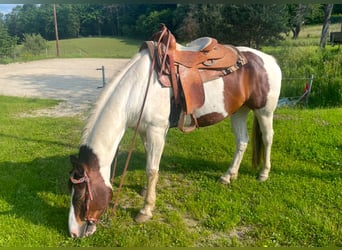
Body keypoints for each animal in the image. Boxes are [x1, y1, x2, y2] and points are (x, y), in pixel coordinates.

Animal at [67, 45, 280, 238]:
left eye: (82, 196)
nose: (74, 233)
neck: (137, 89)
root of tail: (270, 60)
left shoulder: (156, 130)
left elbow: (151, 169)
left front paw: (145, 210)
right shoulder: (145, 131)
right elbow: (150, 163)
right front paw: (146, 192)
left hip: (264, 111)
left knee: (268, 138)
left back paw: (263, 173)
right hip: (239, 111)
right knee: (242, 142)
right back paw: (228, 176)